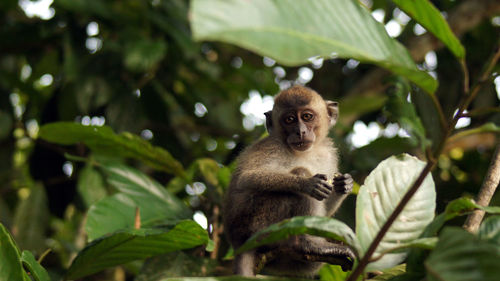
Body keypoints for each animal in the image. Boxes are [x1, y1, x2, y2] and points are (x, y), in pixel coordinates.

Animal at [223, 85, 356, 276]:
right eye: (290, 119)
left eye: (307, 117)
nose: (300, 131)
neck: (304, 152)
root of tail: (238, 243)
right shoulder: (271, 147)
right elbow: (245, 179)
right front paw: (307, 184)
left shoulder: (328, 155)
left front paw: (344, 184)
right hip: (258, 224)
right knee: (300, 178)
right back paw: (308, 243)